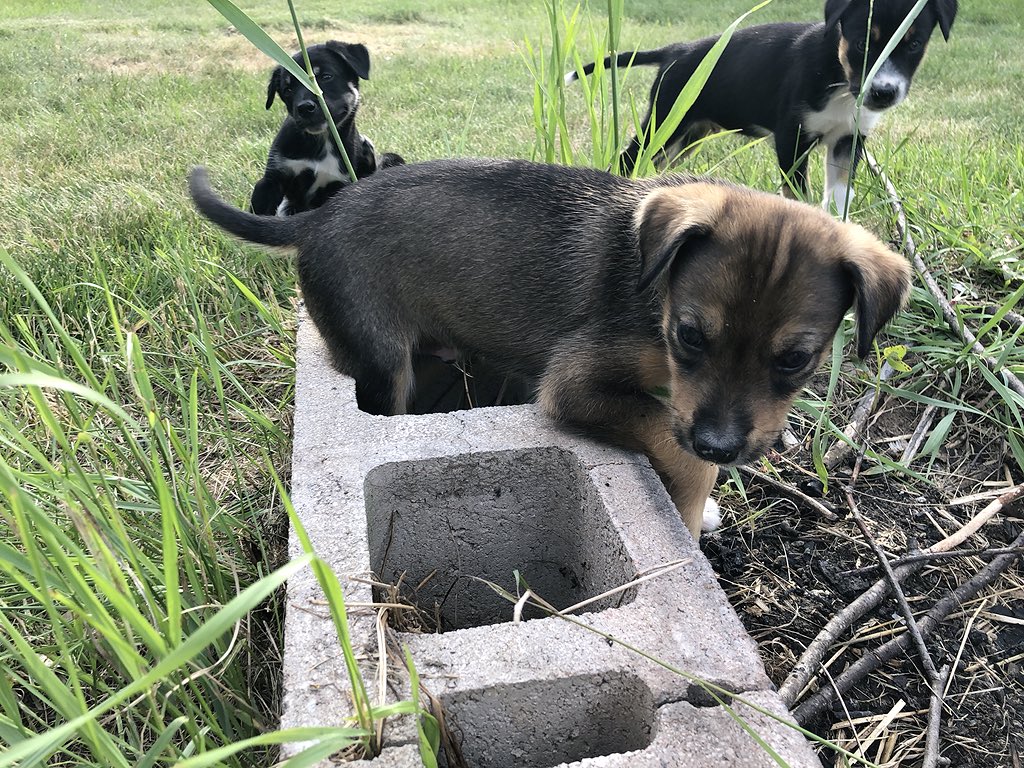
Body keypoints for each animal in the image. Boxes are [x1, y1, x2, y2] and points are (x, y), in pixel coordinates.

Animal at [192, 159, 913, 536]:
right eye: (688, 336)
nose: (720, 444)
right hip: (382, 364)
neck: (656, 295)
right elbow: (669, 439)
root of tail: (317, 216)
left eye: (795, 360)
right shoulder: (576, 384)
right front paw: (693, 507)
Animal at [251, 40, 403, 218]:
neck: (322, 141)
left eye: (326, 77)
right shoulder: (272, 180)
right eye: (287, 90)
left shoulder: (340, 183)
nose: (304, 108)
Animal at [573, 0, 954, 217]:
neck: (837, 78)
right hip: (664, 123)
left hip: (685, 139)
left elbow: (839, 193)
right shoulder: (791, 138)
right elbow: (797, 194)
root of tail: (677, 50)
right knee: (627, 159)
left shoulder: (848, 139)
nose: (883, 92)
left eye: (914, 44)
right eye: (862, 42)